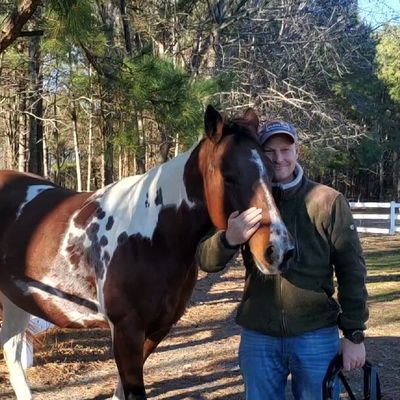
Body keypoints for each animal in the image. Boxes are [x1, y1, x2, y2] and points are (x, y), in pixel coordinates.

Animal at [0, 105, 294, 400]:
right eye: (228, 175)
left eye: (271, 173)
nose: (279, 250)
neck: (151, 237)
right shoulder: (126, 330)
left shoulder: (156, 329)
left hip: (17, 301)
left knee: (12, 351)